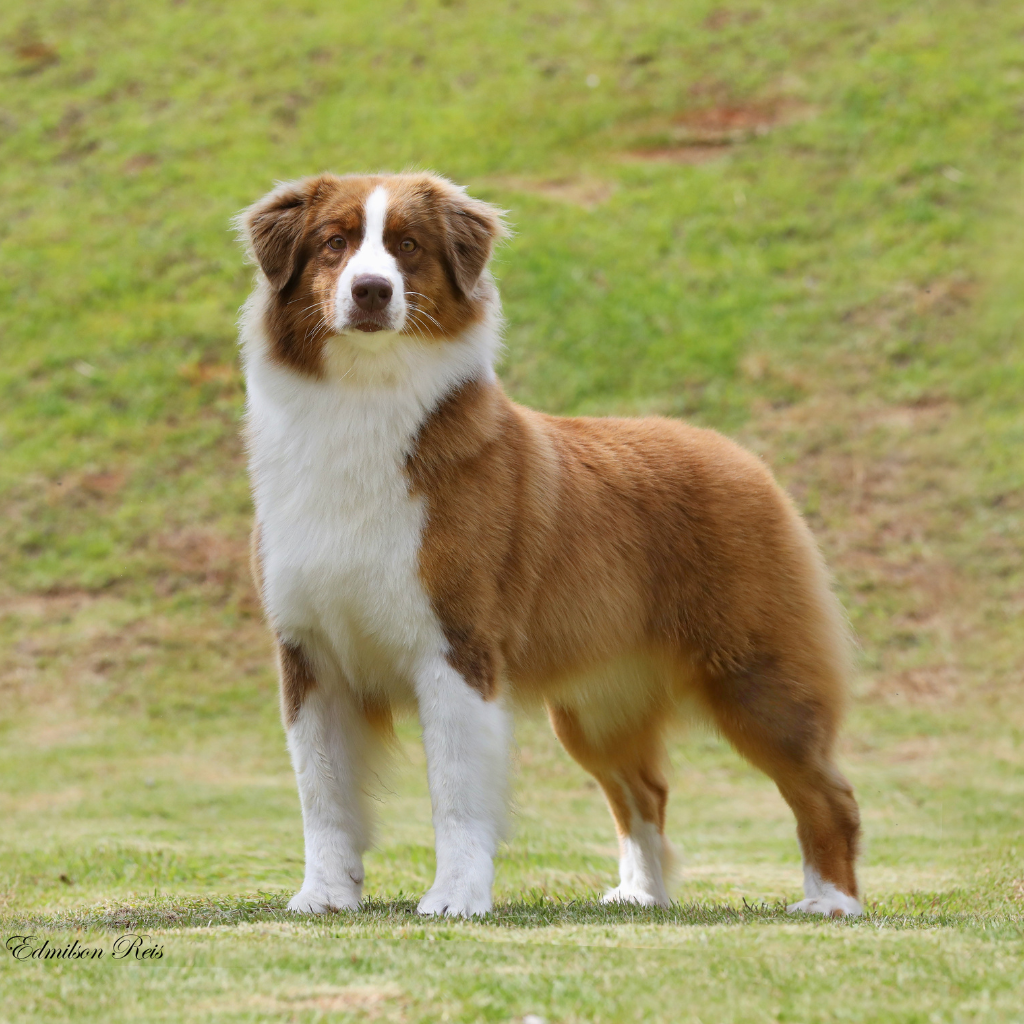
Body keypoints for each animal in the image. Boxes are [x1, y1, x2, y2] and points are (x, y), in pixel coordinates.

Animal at [236, 171, 862, 919]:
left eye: (408, 246)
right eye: (335, 242)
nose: (371, 291)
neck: (361, 399)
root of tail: (738, 455)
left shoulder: (458, 644)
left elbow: (456, 793)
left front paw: (456, 898)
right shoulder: (311, 652)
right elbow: (323, 794)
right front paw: (324, 895)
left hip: (757, 675)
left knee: (826, 789)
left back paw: (833, 902)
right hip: (596, 704)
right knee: (644, 792)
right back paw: (641, 893)